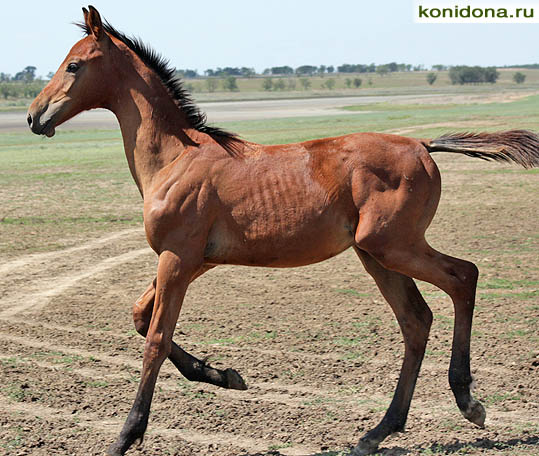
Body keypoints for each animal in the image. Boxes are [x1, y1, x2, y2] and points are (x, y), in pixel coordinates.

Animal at [26, 6, 539, 456]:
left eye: (73, 64)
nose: (34, 116)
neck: (175, 157)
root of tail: (422, 143)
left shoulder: (177, 258)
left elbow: (154, 339)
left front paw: (125, 437)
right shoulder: (196, 261)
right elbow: (140, 317)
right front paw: (223, 375)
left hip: (393, 245)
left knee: (463, 277)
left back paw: (467, 401)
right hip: (375, 254)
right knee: (416, 320)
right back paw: (377, 433)